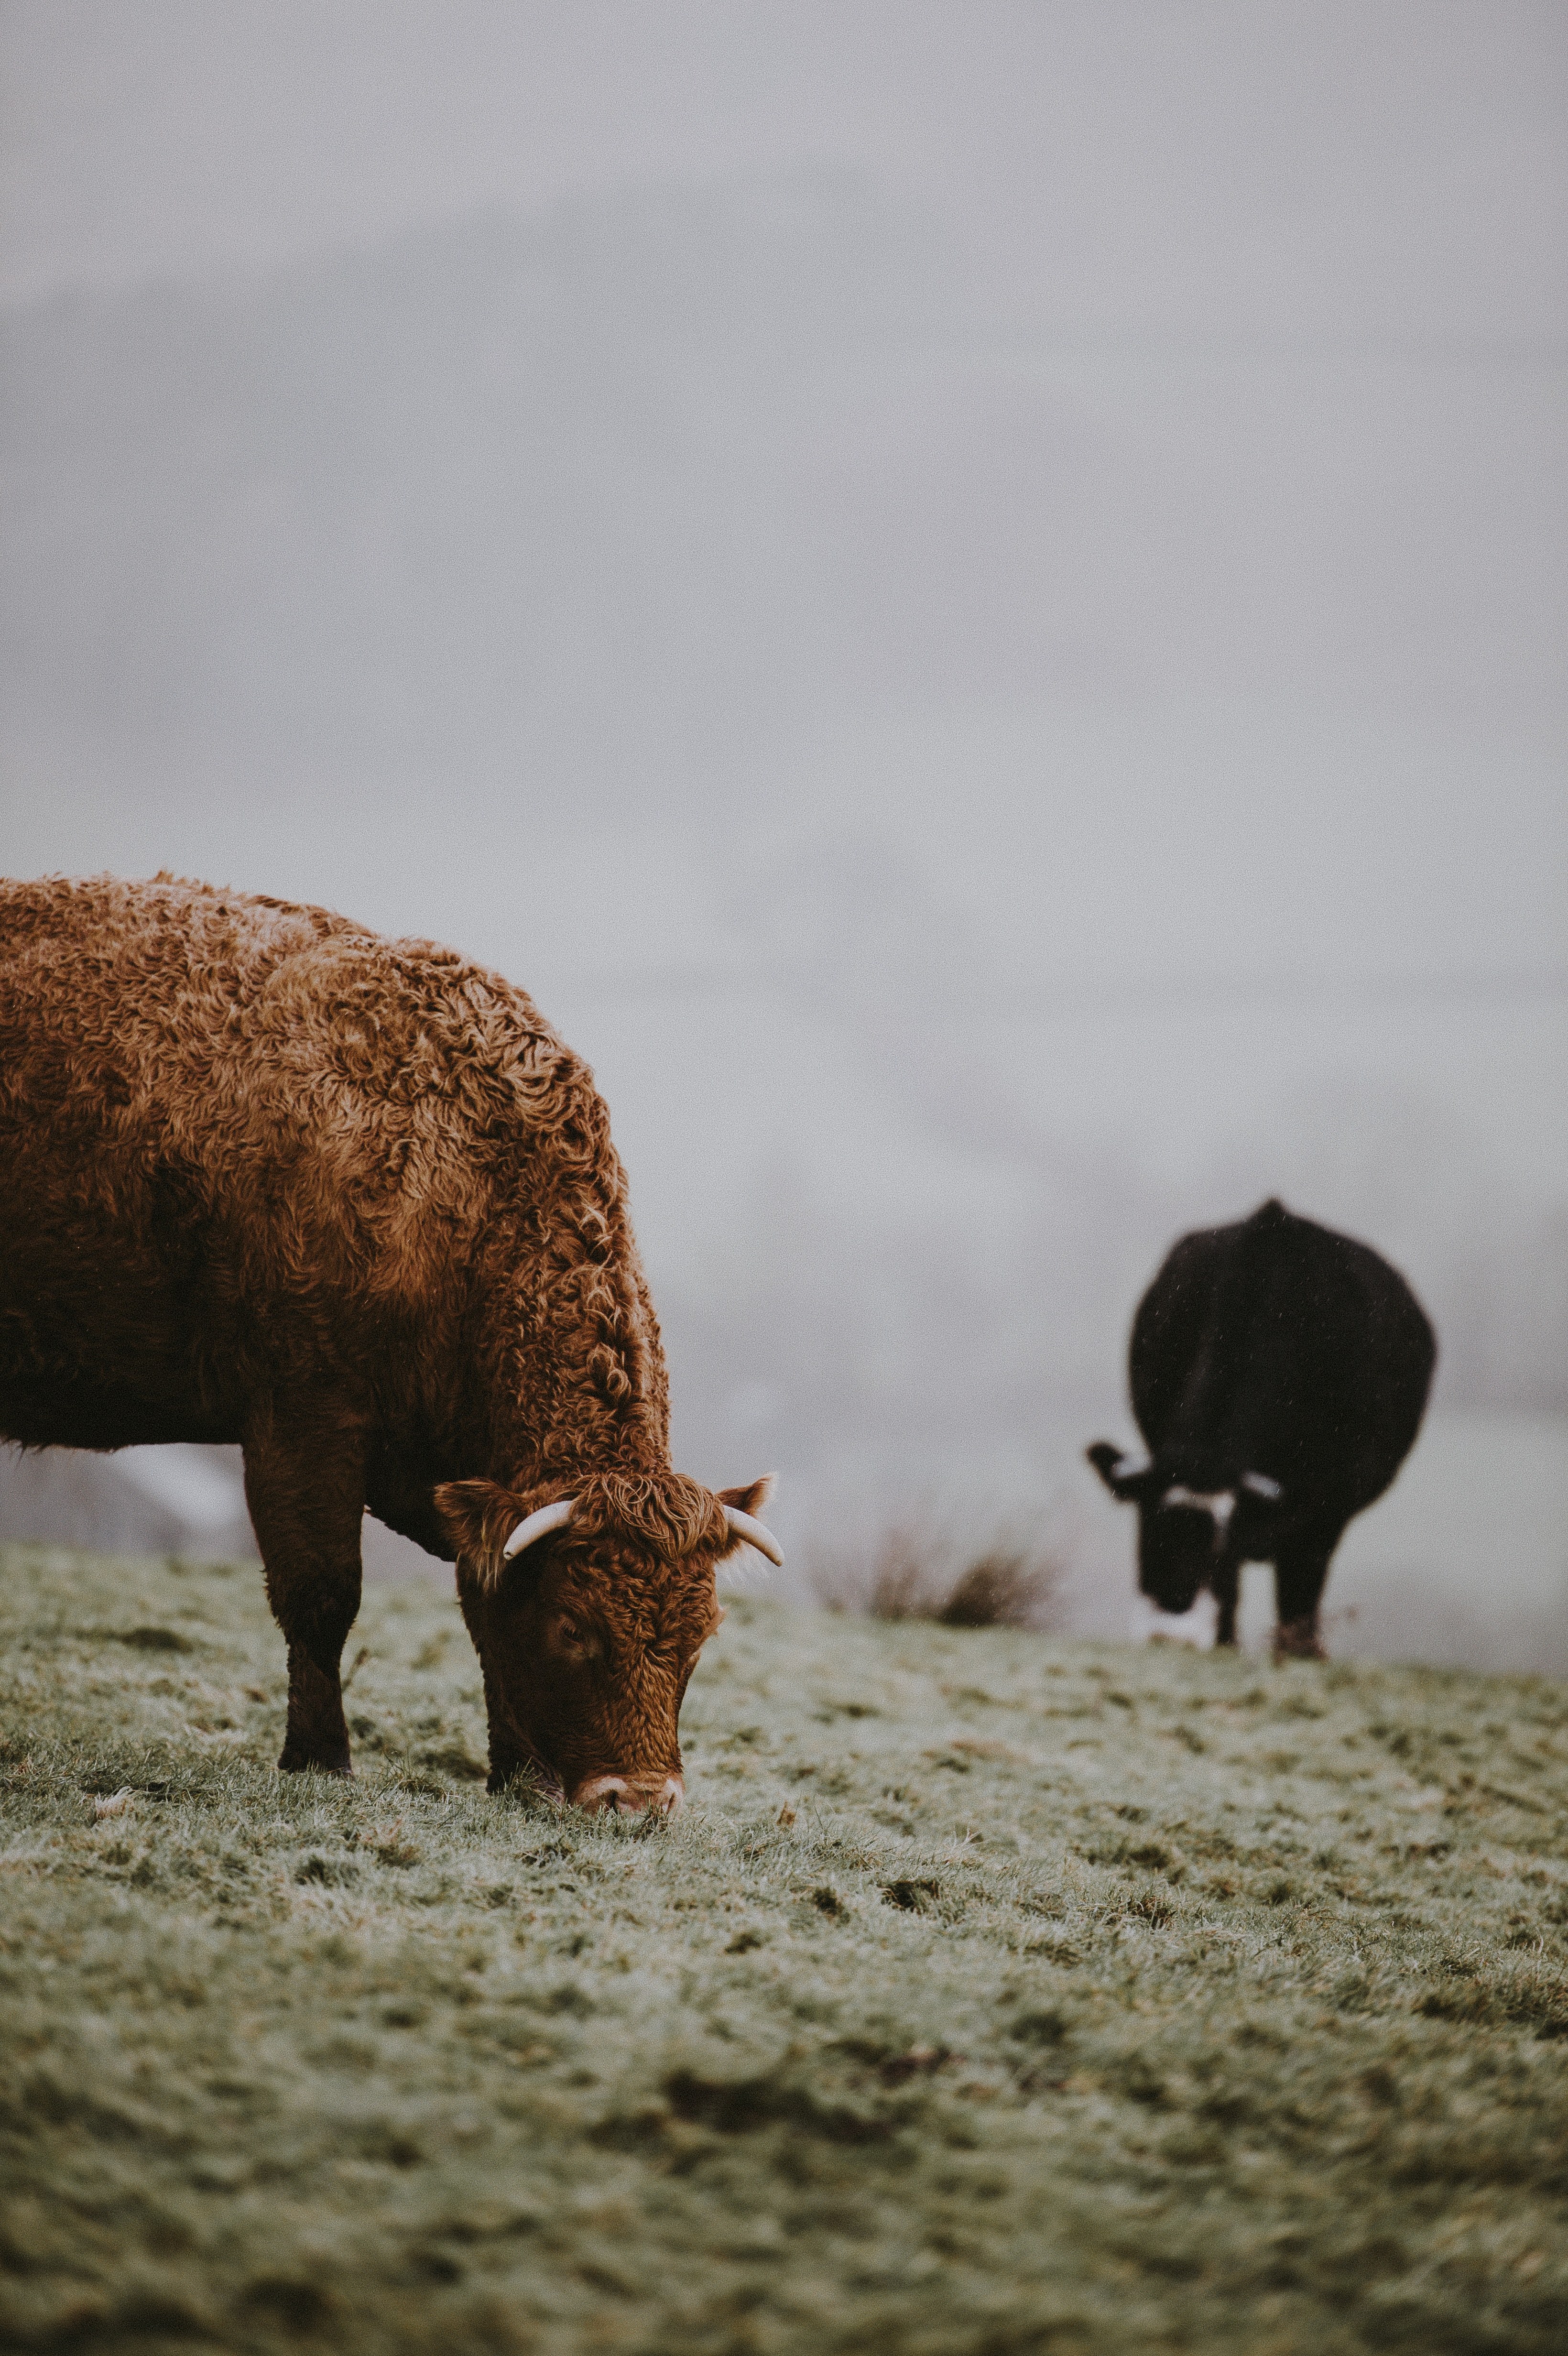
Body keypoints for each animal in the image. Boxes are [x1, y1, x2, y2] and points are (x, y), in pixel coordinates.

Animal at [0, 873, 782, 1809]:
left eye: (703, 1634)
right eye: (574, 1625)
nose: (642, 1798)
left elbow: (482, 1603)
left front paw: (518, 1773)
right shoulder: (301, 1417)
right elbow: (322, 1596)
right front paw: (320, 1756)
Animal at [1086, 1198, 1435, 1660]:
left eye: (1219, 1547)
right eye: (1148, 1533)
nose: (1172, 1637)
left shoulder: (1326, 1511)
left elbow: (1300, 1589)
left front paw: (1296, 1652)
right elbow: (1234, 1593)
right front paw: (1227, 1644)